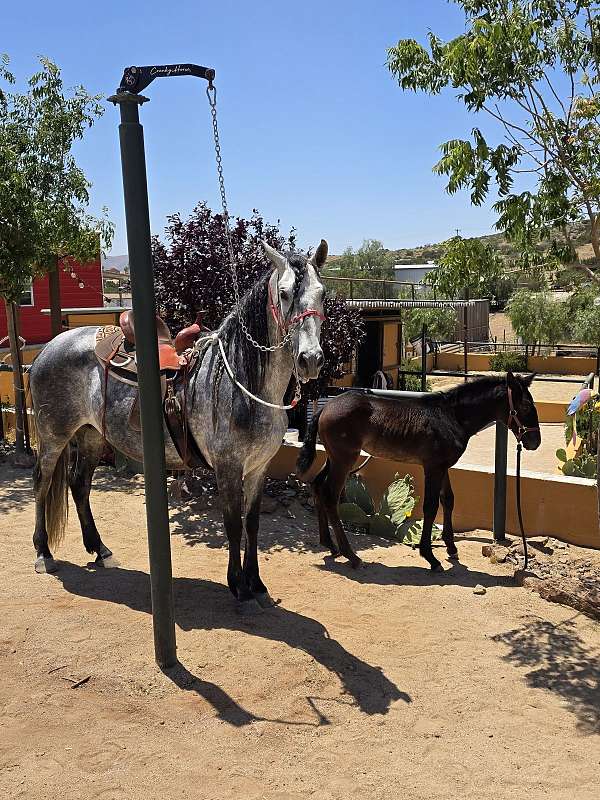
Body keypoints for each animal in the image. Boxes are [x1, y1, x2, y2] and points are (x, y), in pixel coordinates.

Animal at [29, 240, 328, 608]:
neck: (245, 381)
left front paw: (257, 584)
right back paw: (44, 553)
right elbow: (232, 525)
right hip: (53, 436)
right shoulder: (228, 467)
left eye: (322, 293)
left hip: (90, 436)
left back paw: (100, 549)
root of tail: (49, 347)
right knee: (42, 484)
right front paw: (238, 585)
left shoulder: (259, 468)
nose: (310, 359)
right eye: (284, 294)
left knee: (79, 485)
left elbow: (253, 525)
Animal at [297, 372, 541, 571]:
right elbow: (431, 507)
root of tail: (325, 407)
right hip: (344, 460)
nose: (535, 442)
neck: (451, 417)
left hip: (334, 458)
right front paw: (431, 557)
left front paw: (451, 548)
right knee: (330, 496)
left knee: (317, 486)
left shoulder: (443, 467)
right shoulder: (432, 467)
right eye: (526, 407)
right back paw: (352, 556)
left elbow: (448, 499)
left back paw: (330, 545)